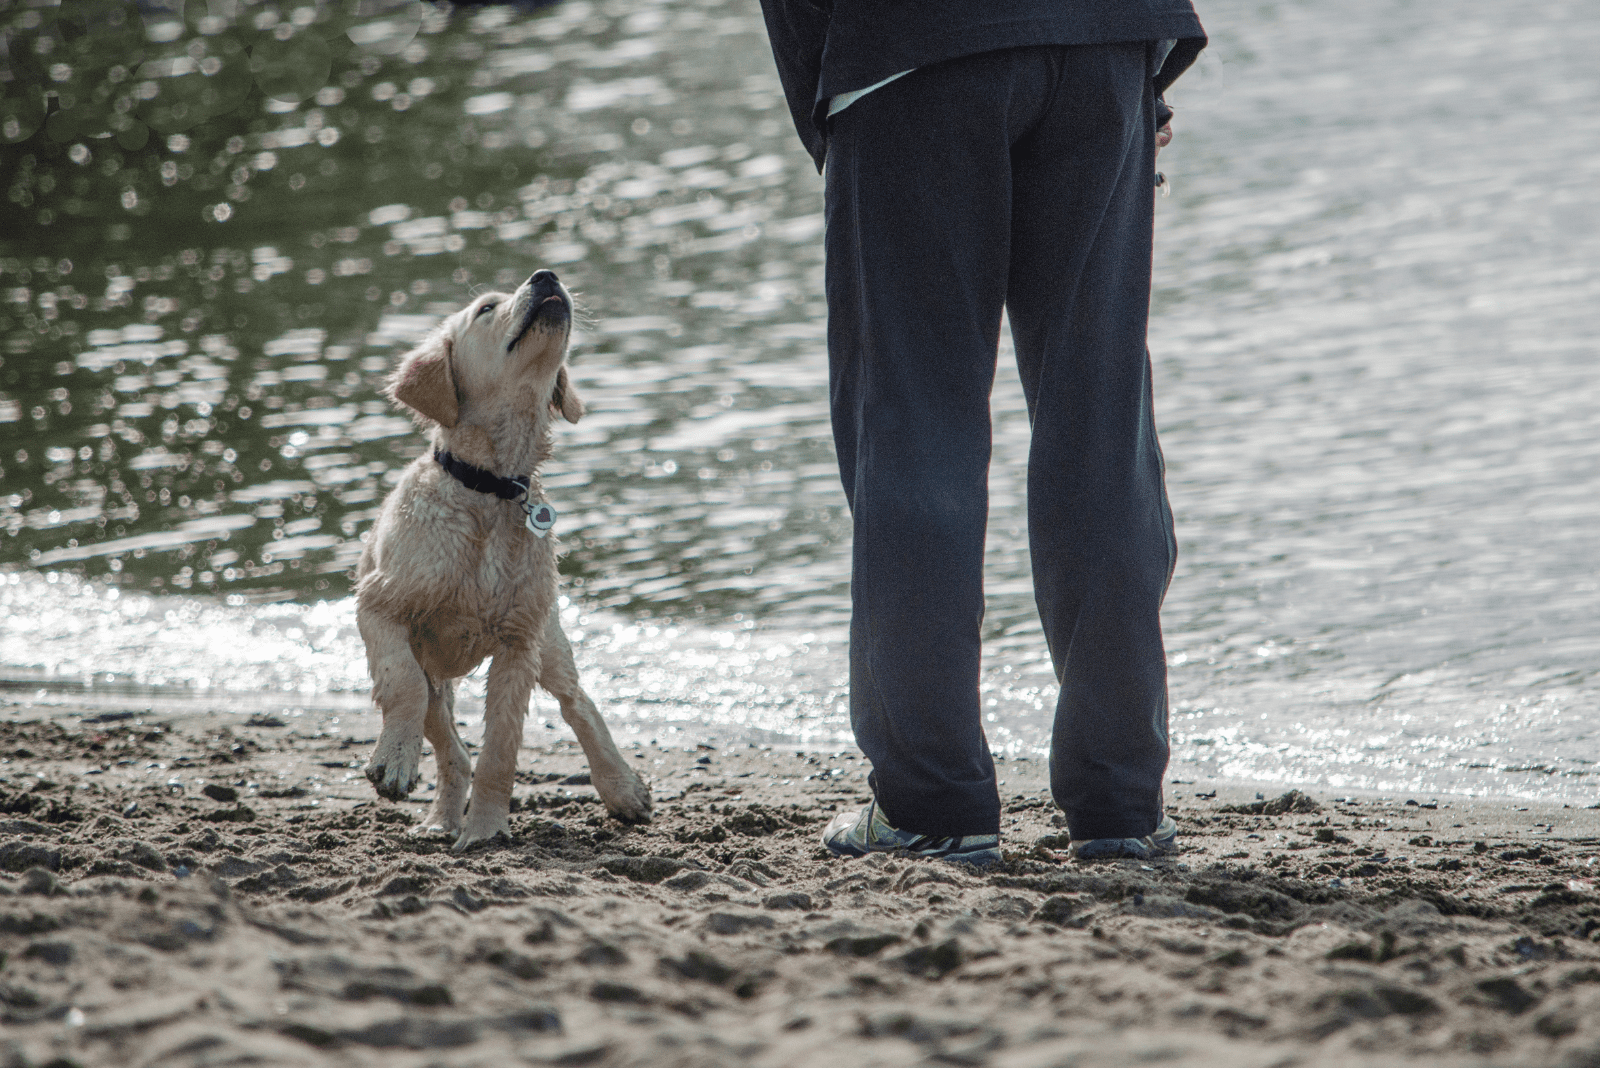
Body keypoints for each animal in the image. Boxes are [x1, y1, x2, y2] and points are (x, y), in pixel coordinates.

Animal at [355, 268, 649, 850]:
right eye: (486, 309)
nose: (547, 275)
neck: (490, 490)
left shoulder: (518, 644)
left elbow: (501, 750)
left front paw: (486, 832)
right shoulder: (379, 605)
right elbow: (401, 684)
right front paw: (395, 763)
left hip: (548, 638)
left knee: (577, 702)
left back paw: (623, 788)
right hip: (437, 670)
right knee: (445, 739)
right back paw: (439, 818)